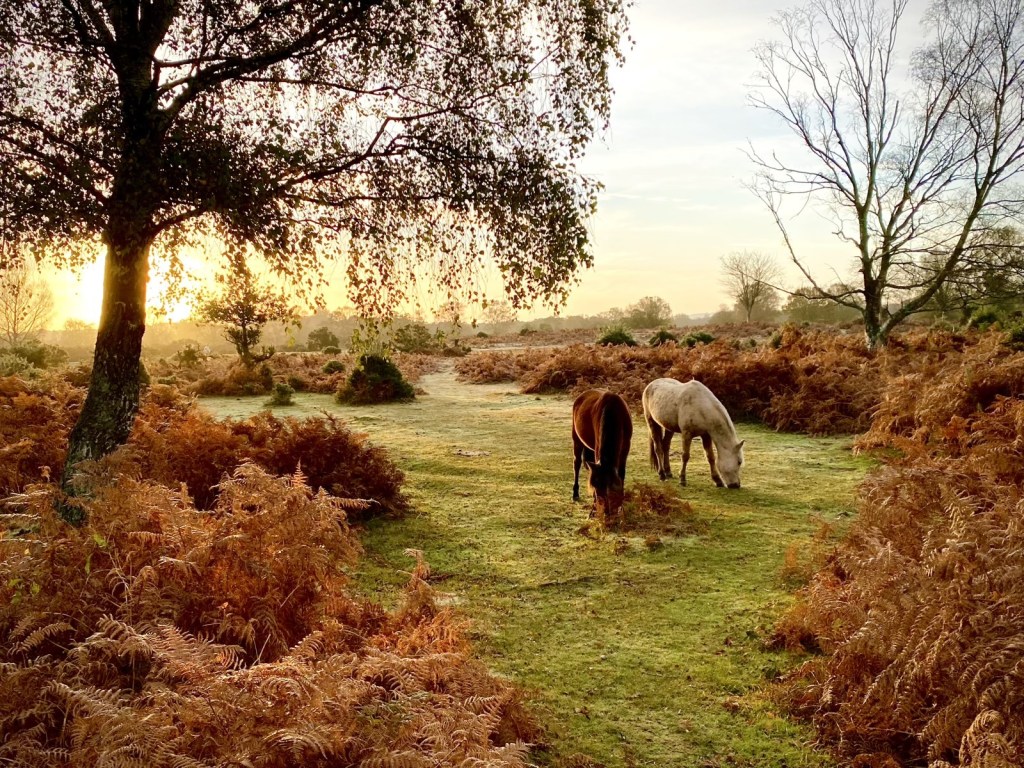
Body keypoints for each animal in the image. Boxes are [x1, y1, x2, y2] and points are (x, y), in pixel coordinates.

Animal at [571, 389, 633, 518]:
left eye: (612, 489)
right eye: (596, 487)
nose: (606, 512)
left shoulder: (626, 448)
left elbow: (621, 475)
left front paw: (621, 508)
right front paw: (592, 510)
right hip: (576, 438)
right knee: (577, 463)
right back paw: (575, 494)